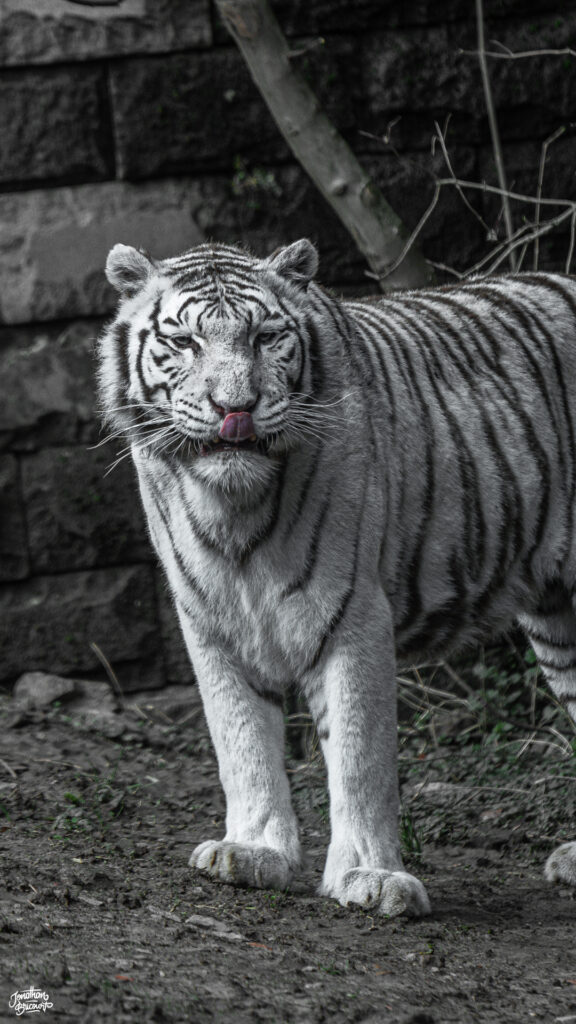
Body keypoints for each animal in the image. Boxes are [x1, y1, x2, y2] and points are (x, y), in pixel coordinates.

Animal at [98, 237, 576, 918]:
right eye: (185, 342)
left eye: (267, 337)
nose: (235, 409)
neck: (233, 510)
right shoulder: (210, 622)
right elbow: (241, 740)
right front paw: (252, 852)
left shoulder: (352, 612)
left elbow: (360, 755)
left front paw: (370, 877)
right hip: (559, 619)